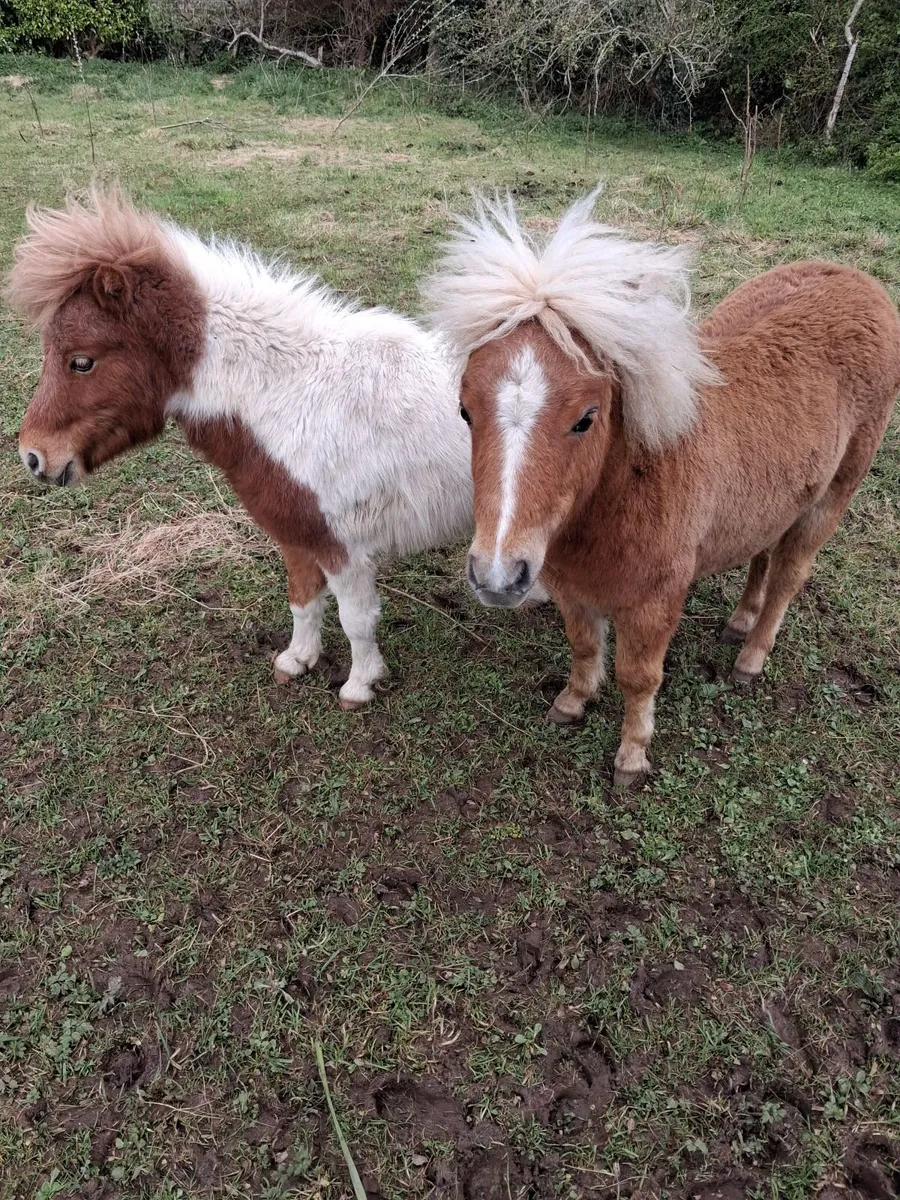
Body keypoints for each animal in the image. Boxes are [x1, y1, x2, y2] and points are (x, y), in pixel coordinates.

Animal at [8, 186, 474, 710]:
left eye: (82, 362)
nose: (33, 456)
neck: (291, 394)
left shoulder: (342, 546)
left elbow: (356, 619)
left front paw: (359, 685)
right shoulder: (297, 532)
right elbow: (303, 601)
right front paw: (297, 661)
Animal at [422, 187, 900, 786]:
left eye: (586, 418)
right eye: (465, 411)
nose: (497, 576)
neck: (620, 494)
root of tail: (861, 281)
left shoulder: (655, 602)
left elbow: (639, 677)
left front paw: (632, 755)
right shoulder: (570, 586)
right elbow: (584, 647)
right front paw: (572, 702)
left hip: (832, 496)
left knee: (790, 574)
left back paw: (751, 657)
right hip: (780, 495)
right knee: (763, 553)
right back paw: (739, 620)